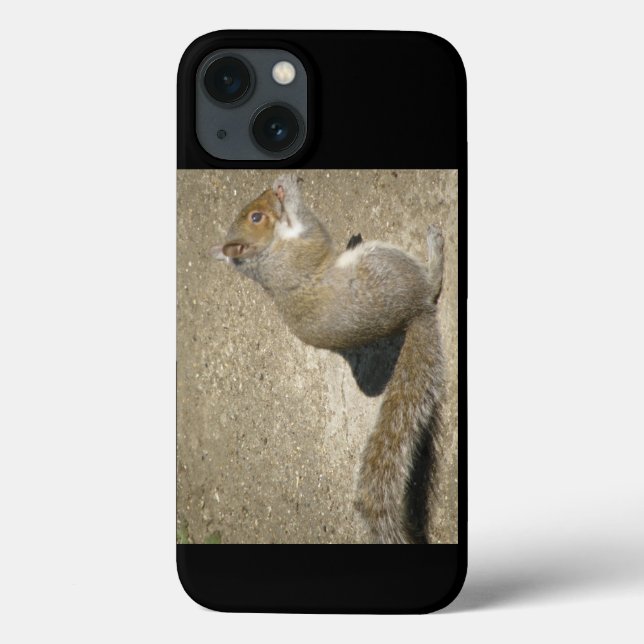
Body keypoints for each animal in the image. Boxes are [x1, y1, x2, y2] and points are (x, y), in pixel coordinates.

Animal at [212, 175, 444, 544]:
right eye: (256, 218)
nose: (271, 192)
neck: (265, 258)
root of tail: (414, 312)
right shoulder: (301, 249)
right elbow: (311, 224)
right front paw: (287, 189)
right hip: (384, 263)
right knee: (432, 286)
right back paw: (435, 251)